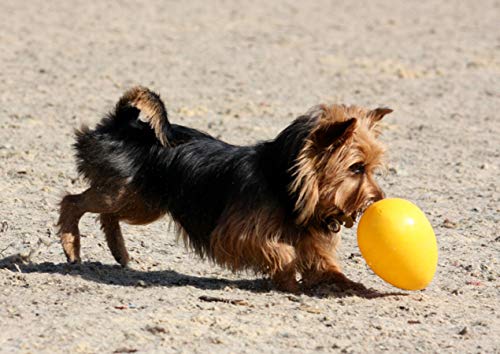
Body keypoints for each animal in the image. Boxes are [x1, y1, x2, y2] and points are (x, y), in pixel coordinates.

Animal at [58, 86, 390, 294]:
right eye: (356, 168)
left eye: (372, 168)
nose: (380, 199)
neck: (283, 184)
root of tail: (121, 124)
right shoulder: (236, 234)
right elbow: (282, 252)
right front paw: (288, 281)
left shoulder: (313, 245)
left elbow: (328, 268)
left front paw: (352, 286)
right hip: (124, 194)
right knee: (72, 202)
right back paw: (71, 246)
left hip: (143, 203)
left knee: (108, 216)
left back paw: (119, 251)